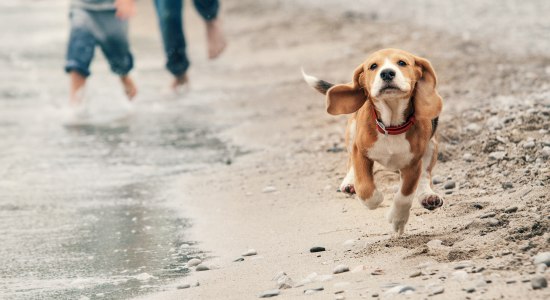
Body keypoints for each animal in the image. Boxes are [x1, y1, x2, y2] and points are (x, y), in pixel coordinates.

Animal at [304, 48, 446, 234]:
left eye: (402, 63)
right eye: (373, 66)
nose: (387, 73)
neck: (391, 125)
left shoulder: (413, 163)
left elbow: (405, 194)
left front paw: (398, 220)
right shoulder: (360, 152)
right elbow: (365, 187)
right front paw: (376, 198)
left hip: (431, 146)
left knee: (425, 175)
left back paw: (428, 196)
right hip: (352, 132)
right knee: (350, 163)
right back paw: (349, 183)